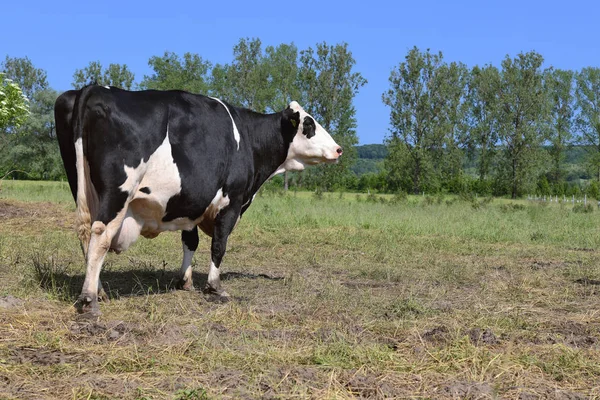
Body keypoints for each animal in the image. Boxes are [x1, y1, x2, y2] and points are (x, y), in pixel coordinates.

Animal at [54, 85, 344, 316]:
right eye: (309, 125)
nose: (339, 149)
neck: (248, 138)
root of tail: (94, 88)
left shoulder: (192, 202)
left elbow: (190, 241)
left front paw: (185, 281)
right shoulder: (232, 201)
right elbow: (219, 245)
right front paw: (215, 287)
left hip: (81, 188)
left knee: (86, 237)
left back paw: (98, 290)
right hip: (117, 193)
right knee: (100, 235)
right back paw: (89, 299)